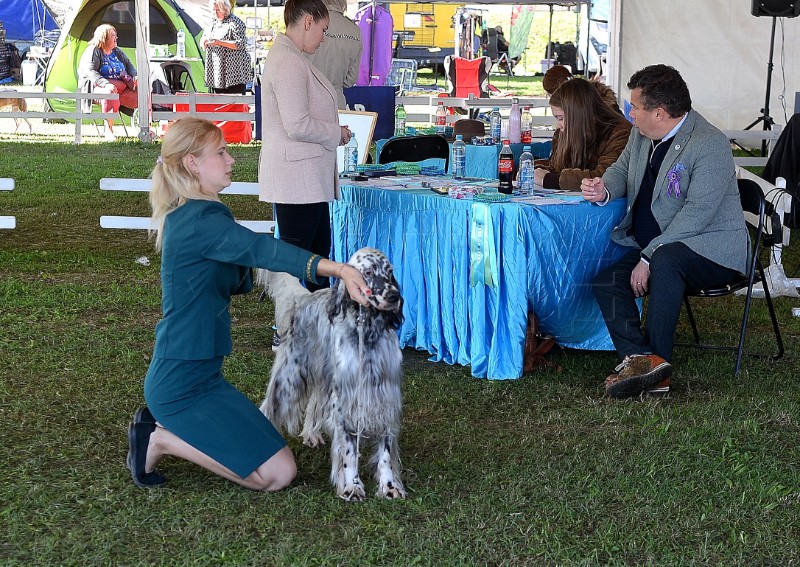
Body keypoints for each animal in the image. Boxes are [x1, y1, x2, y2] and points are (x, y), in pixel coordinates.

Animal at [258, 248, 406, 502]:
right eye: (368, 272)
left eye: (390, 271)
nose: (394, 296)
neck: (367, 332)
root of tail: (304, 299)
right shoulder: (345, 399)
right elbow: (348, 450)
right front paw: (351, 486)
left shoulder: (385, 395)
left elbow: (386, 450)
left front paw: (389, 486)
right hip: (289, 376)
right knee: (269, 407)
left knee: (315, 401)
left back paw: (311, 433)